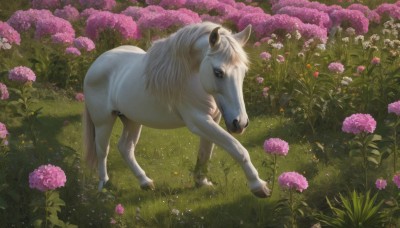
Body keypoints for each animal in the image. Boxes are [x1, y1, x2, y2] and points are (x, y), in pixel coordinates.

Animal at [83, 22, 272, 199]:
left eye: (244, 72)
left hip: (132, 121)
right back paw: (104, 185)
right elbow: (237, 148)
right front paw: (258, 185)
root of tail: (96, 64)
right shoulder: (198, 120)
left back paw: (145, 182)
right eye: (218, 72)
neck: (192, 78)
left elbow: (206, 151)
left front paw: (201, 181)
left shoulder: (213, 120)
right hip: (104, 122)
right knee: (102, 150)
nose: (240, 123)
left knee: (125, 148)